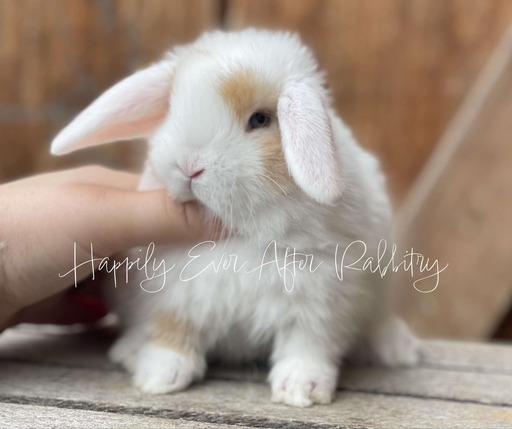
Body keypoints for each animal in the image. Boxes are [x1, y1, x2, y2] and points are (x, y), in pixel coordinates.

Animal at [50, 28, 418, 406]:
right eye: (172, 108)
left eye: (259, 120)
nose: (189, 166)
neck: (242, 232)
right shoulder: (174, 291)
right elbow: (172, 330)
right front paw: (160, 377)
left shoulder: (321, 295)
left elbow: (307, 344)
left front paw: (302, 389)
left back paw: (399, 350)